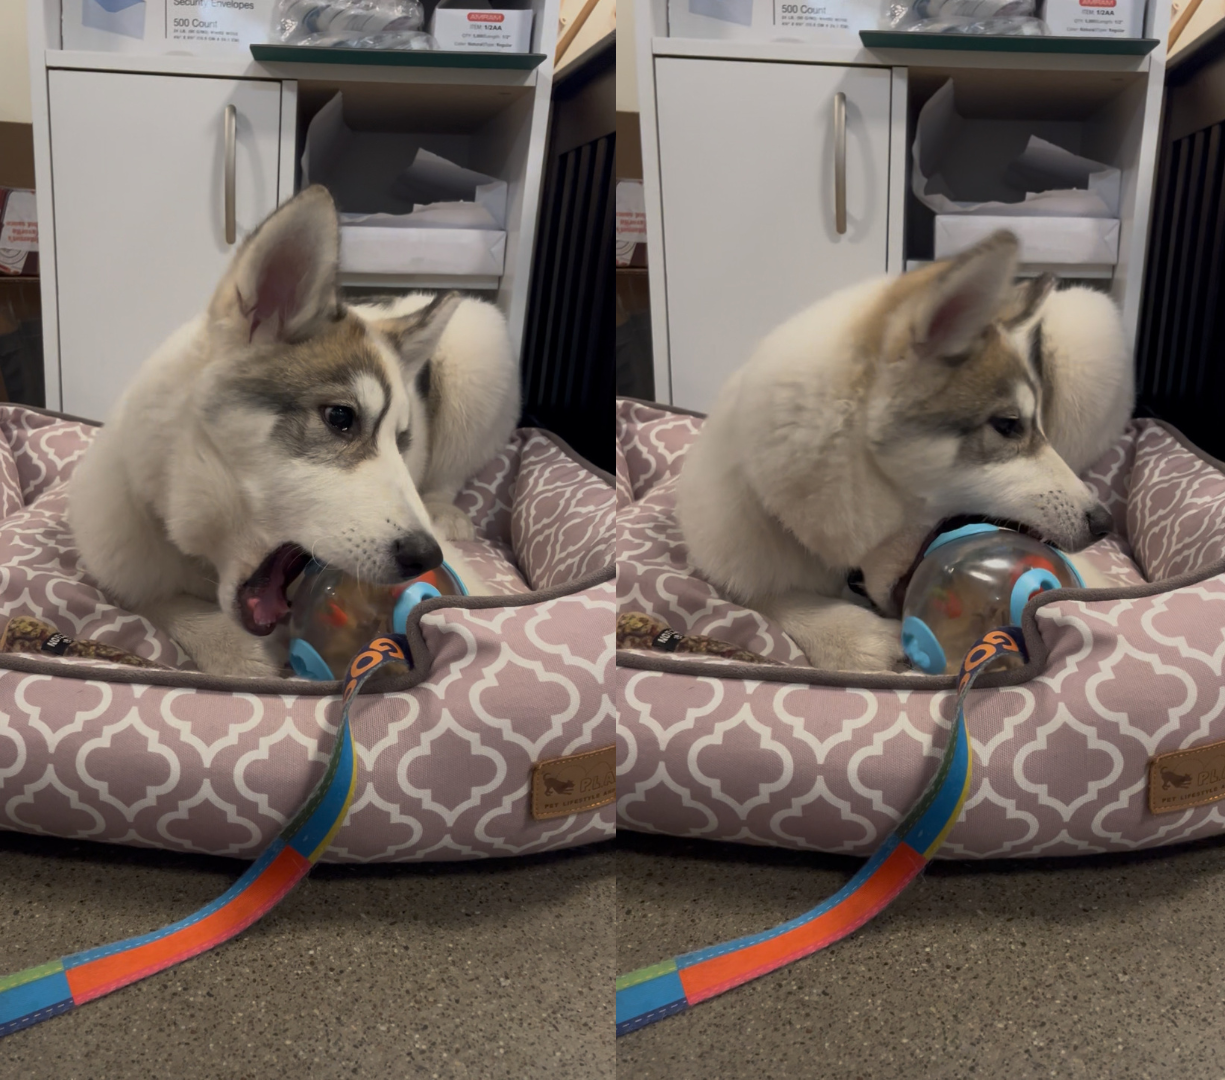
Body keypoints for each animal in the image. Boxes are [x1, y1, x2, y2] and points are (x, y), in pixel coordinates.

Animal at [68, 186, 520, 677]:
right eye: (340, 418)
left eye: (403, 443)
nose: (426, 557)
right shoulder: (122, 569)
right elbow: (159, 603)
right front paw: (234, 648)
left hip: (478, 344)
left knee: (449, 476)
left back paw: (444, 510)